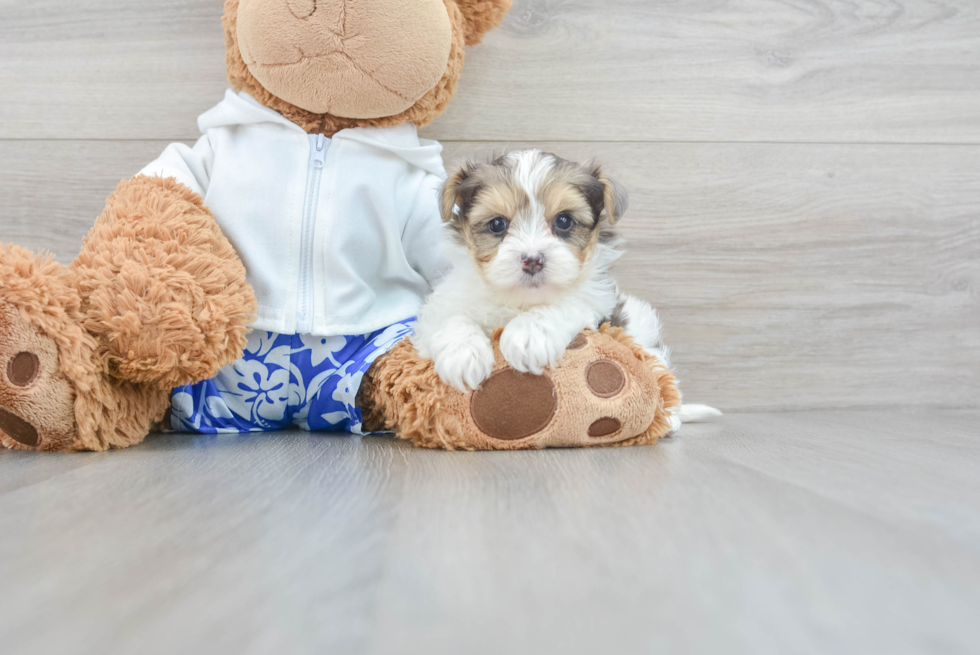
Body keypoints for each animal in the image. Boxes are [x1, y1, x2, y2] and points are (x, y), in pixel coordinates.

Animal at [410, 151, 676, 398]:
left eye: (564, 220)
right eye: (497, 224)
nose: (532, 260)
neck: (520, 300)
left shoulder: (597, 299)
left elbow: (566, 303)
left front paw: (530, 334)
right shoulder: (443, 304)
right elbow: (449, 317)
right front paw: (463, 353)